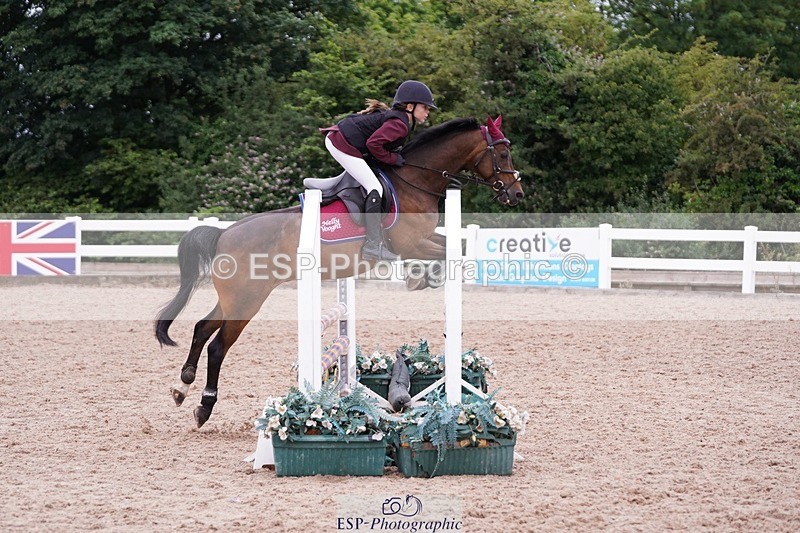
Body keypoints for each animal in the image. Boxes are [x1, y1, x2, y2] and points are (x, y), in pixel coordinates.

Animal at [155, 115, 524, 427]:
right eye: (503, 153)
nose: (516, 194)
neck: (415, 179)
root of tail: (223, 234)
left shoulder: (423, 239)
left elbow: (450, 247)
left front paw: (422, 277)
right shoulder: (411, 244)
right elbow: (449, 252)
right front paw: (420, 277)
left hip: (236, 298)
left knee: (202, 328)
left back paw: (182, 387)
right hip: (247, 300)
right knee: (217, 346)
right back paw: (204, 406)